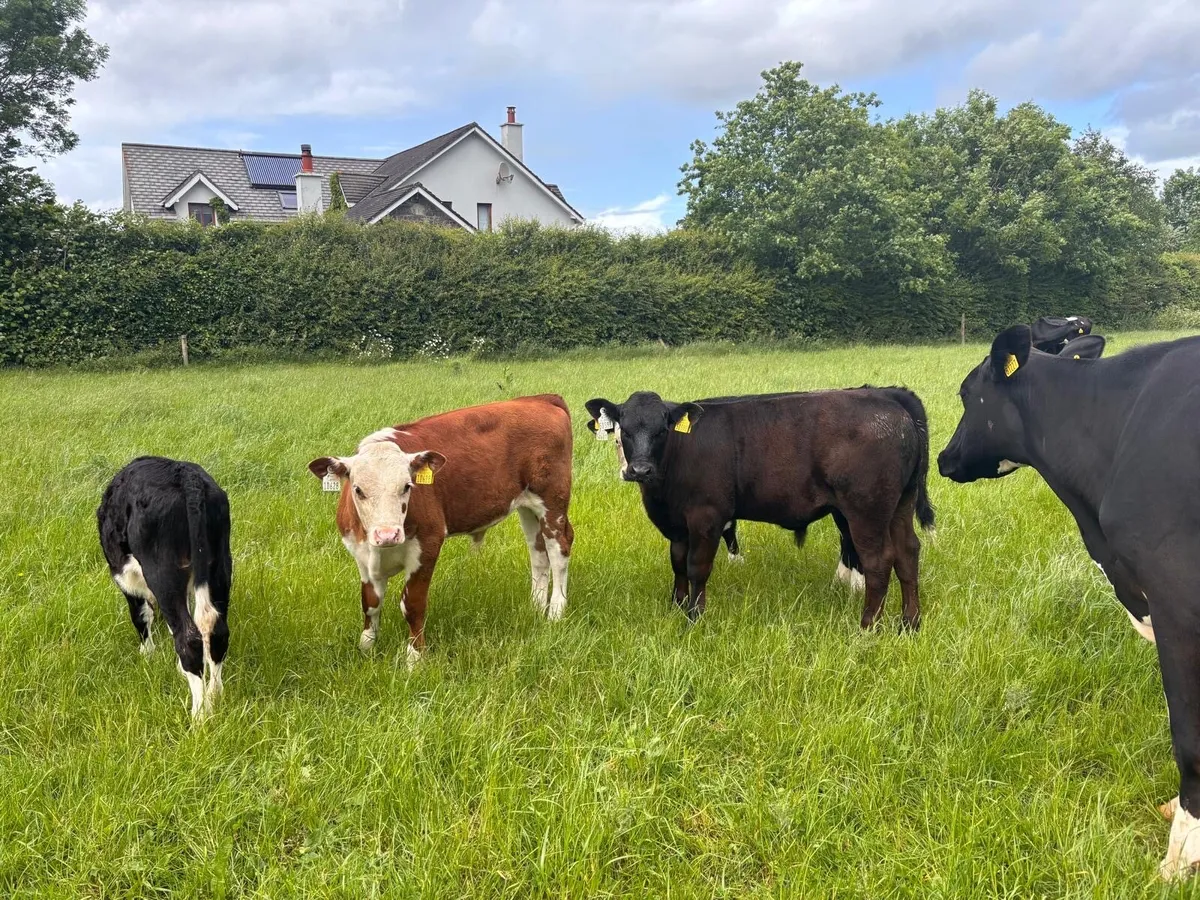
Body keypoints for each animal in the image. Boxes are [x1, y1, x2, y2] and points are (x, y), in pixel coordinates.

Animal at [96, 456, 232, 719]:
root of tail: (187, 476)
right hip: (220, 565)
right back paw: (215, 696)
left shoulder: (125, 577)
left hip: (162, 572)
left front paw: (147, 654)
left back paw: (199, 715)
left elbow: (140, 615)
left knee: (189, 639)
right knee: (215, 630)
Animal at [308, 395, 574, 664]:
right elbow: (370, 602)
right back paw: (536, 607)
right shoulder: (361, 554)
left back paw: (555, 612)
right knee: (538, 552)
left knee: (558, 549)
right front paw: (366, 647)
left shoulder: (427, 544)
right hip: (527, 506)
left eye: (407, 486)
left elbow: (412, 605)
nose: (388, 534)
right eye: (358, 490)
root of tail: (540, 399)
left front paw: (415, 658)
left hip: (552, 500)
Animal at [585, 387, 935, 628]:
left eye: (662, 429)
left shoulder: (706, 517)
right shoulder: (677, 525)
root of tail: (887, 398)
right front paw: (677, 605)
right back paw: (909, 623)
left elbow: (697, 567)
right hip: (900, 504)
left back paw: (867, 628)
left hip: (866, 511)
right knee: (908, 553)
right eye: (624, 430)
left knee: (879, 561)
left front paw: (695, 616)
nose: (639, 470)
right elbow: (678, 563)